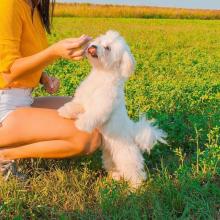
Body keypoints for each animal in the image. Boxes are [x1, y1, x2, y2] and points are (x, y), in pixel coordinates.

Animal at [58, 30, 167, 186]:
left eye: (108, 48)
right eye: (98, 41)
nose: (92, 46)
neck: (101, 75)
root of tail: (133, 133)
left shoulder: (102, 106)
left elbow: (91, 116)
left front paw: (81, 124)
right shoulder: (83, 100)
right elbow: (76, 106)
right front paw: (65, 111)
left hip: (126, 156)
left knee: (135, 172)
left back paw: (135, 187)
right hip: (110, 154)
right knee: (114, 167)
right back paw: (115, 177)